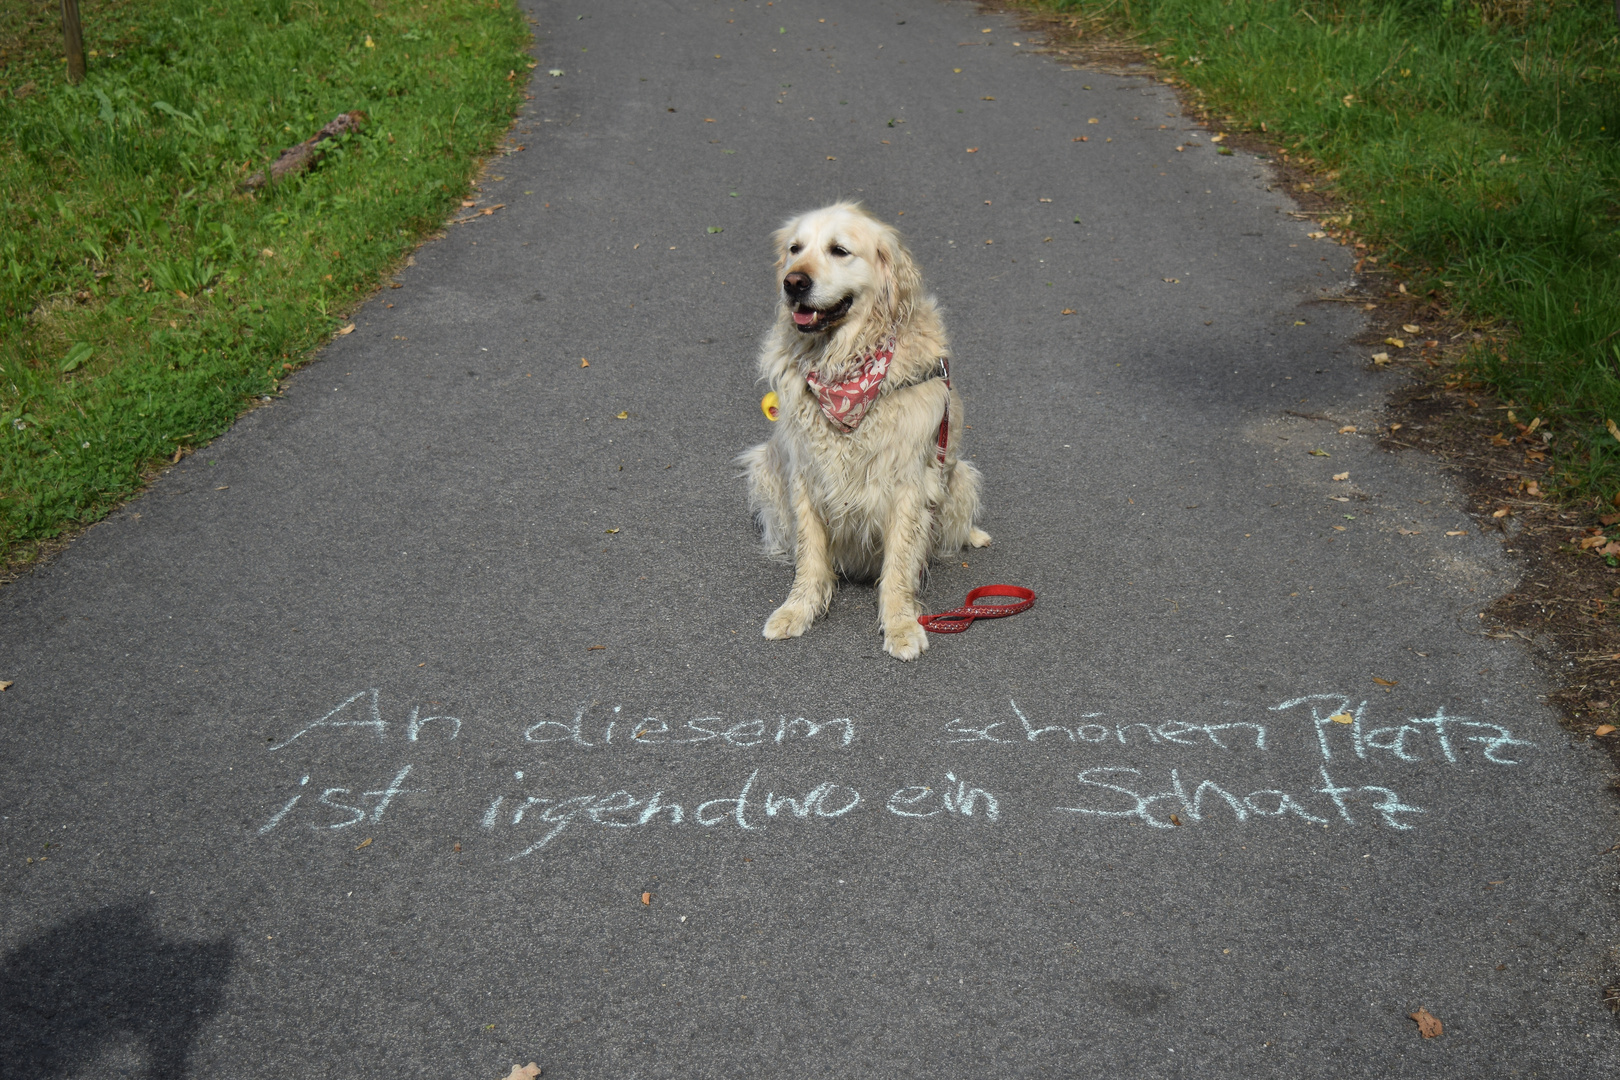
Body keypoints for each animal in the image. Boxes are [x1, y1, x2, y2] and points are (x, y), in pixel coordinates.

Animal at [741, 201, 991, 660]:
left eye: (839, 250)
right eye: (795, 249)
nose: (793, 283)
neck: (844, 364)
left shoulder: (910, 480)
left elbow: (899, 564)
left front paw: (901, 624)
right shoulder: (804, 472)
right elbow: (810, 555)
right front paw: (798, 609)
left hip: (960, 475)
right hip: (765, 465)